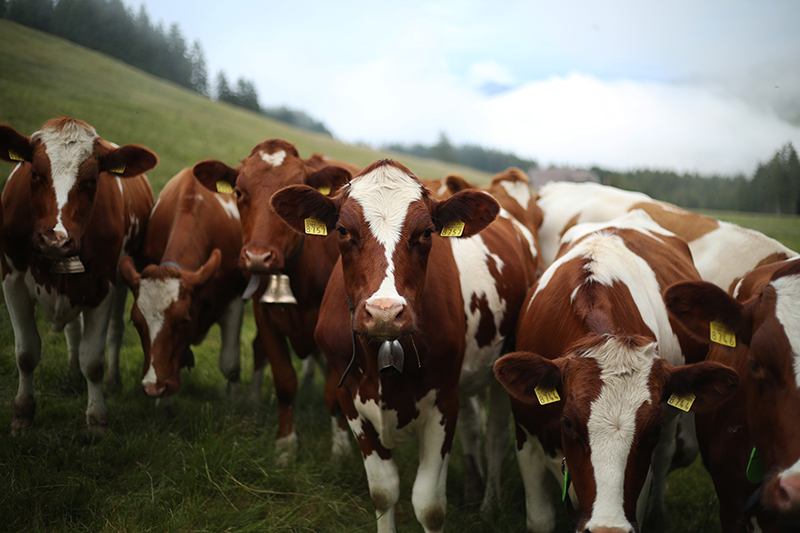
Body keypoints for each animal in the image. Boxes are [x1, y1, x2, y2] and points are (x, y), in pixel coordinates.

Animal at [0, 117, 156, 432]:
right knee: (73, 330)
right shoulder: (11, 278)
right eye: (34, 173)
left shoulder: (104, 286)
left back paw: (113, 381)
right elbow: (26, 352)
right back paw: (72, 372)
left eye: (93, 180)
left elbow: (94, 360)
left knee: (116, 329)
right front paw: (22, 413)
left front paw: (97, 419)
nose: (55, 239)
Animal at [118, 167, 247, 403]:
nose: (152, 387)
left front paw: (235, 401)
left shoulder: (234, 300)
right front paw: (163, 403)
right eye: (136, 322)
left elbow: (230, 364)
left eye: (184, 320)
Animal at [192, 140, 357, 460]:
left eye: (291, 201)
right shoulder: (265, 317)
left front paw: (342, 446)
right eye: (239, 192)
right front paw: (285, 444)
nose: (258, 257)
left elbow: (334, 391)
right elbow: (284, 380)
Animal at [270, 159, 538, 532]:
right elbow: (383, 492)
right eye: (342, 230)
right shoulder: (351, 397)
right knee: (474, 425)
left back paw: (489, 505)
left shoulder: (443, 400)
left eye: (426, 233)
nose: (385, 312)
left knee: (496, 436)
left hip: (502, 369)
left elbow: (429, 505)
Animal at [494, 211, 739, 533]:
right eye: (568, 423)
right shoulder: (527, 439)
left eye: (653, 429)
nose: (606, 528)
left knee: (664, 458)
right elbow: (540, 520)